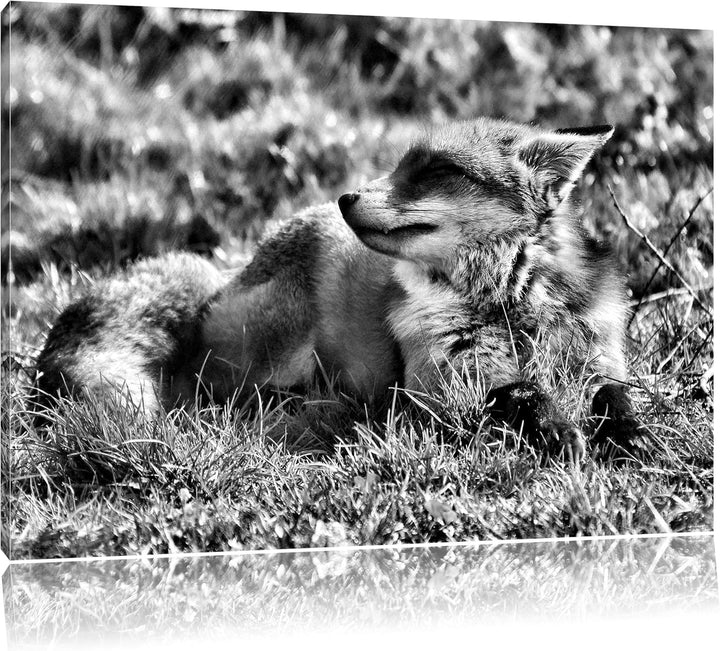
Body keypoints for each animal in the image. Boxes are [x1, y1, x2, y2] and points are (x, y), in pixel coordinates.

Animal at [34, 117, 641, 460]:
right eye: (399, 165)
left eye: (432, 171)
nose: (347, 196)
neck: (511, 309)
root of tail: (227, 276)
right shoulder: (439, 384)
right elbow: (520, 393)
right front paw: (557, 430)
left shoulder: (599, 353)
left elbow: (615, 396)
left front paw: (632, 435)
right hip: (277, 345)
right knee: (214, 395)